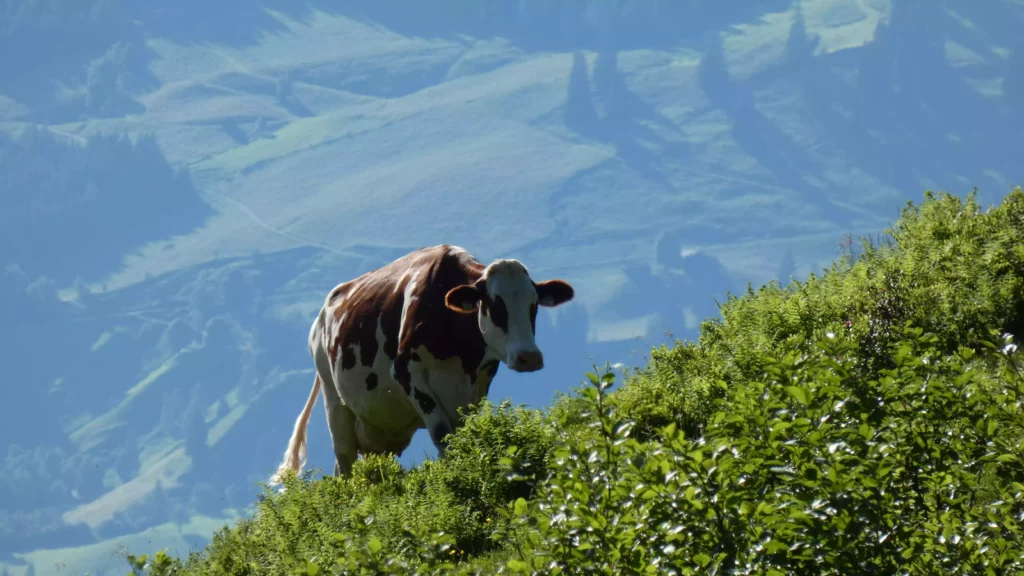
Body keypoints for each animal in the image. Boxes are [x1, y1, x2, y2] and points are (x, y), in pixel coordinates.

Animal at [269, 244, 575, 485]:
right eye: (493, 304)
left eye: (534, 305)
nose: (529, 357)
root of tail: (321, 316)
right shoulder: (408, 373)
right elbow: (442, 435)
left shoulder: (478, 381)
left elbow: (462, 436)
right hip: (334, 399)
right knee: (344, 460)